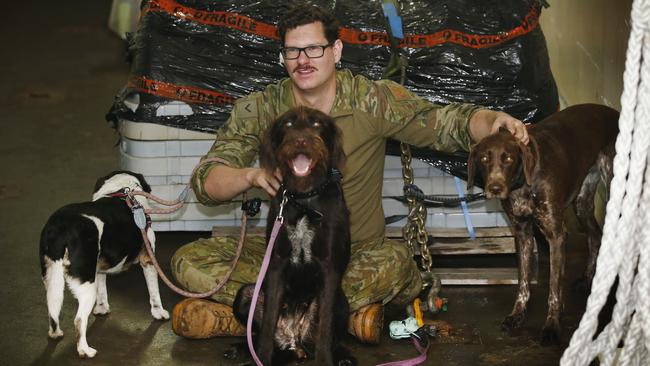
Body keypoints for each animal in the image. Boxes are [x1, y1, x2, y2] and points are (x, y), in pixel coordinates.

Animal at [38, 171, 167, 358]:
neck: (123, 190)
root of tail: (61, 229)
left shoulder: (98, 270)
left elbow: (102, 290)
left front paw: (102, 309)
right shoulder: (148, 260)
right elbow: (154, 292)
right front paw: (159, 313)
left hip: (52, 280)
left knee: (53, 309)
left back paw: (55, 334)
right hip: (85, 285)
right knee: (79, 320)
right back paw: (85, 350)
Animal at [233, 106, 354, 366]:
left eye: (317, 124)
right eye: (288, 124)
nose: (301, 140)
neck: (304, 198)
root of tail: (293, 340)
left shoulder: (329, 268)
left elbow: (325, 328)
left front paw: (324, 361)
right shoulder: (276, 264)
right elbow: (268, 323)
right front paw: (262, 357)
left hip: (341, 302)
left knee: (335, 335)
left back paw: (343, 356)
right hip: (247, 294)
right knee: (257, 331)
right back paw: (243, 349)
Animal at [466, 103, 616, 344]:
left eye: (508, 159)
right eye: (484, 159)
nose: (495, 188)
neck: (524, 184)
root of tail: (614, 112)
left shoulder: (556, 235)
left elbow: (554, 288)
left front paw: (552, 325)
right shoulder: (522, 234)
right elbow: (523, 283)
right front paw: (517, 315)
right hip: (582, 203)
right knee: (595, 235)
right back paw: (586, 279)